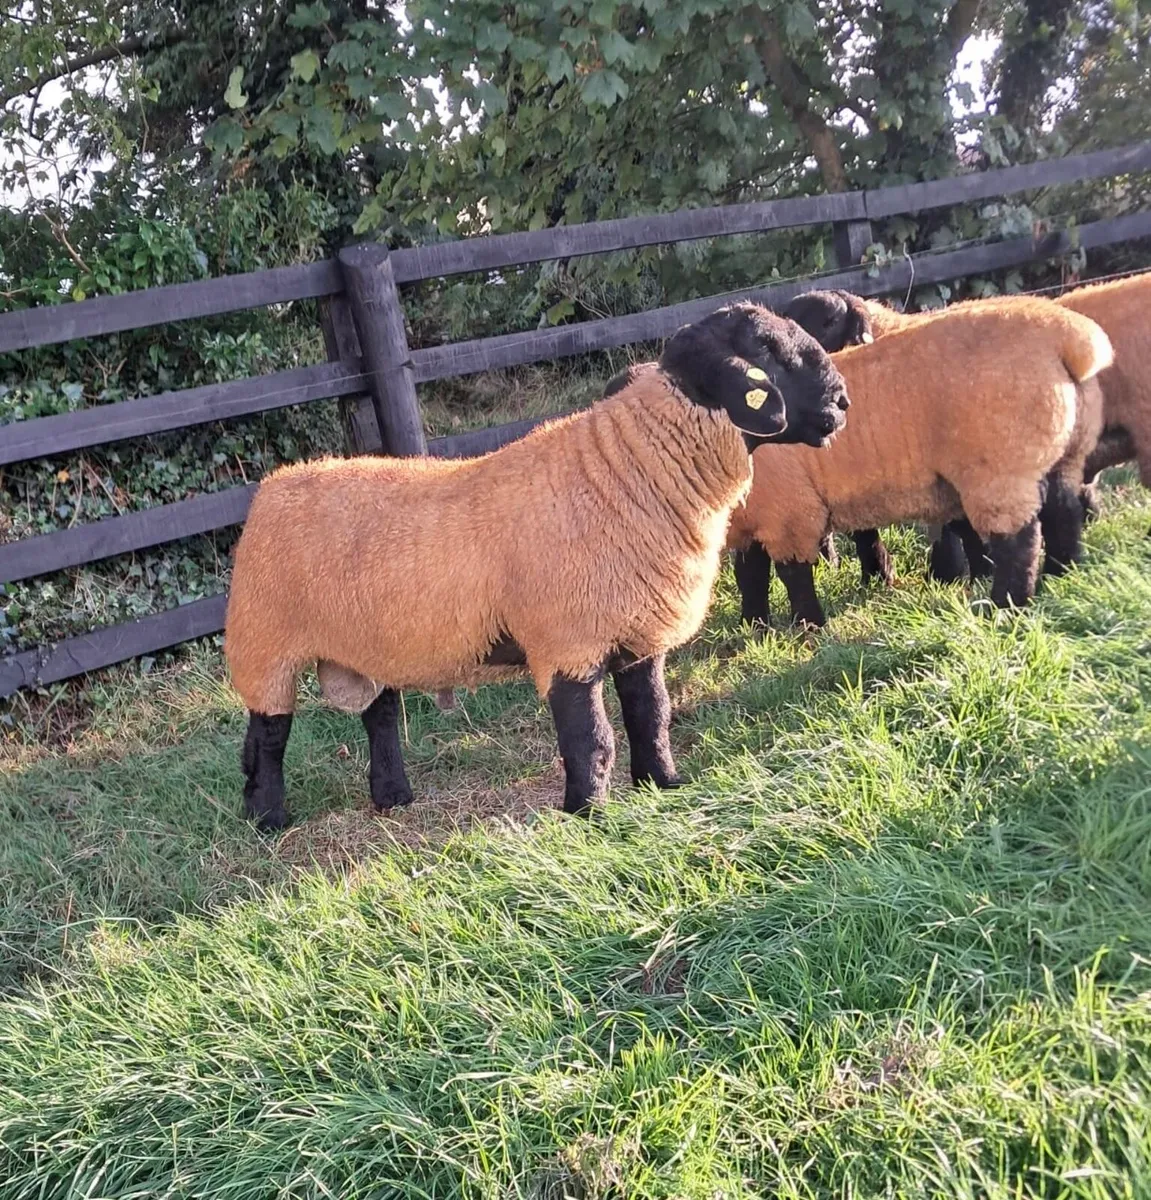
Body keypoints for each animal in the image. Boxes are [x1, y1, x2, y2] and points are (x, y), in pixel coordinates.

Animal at [224, 303, 850, 831]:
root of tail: (274, 487)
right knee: (266, 738)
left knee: (378, 716)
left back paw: (393, 796)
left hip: (362, 641)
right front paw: (588, 816)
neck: (631, 472)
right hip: (265, 644)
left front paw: (663, 785)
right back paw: (267, 817)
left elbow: (652, 714)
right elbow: (590, 738)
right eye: (765, 346)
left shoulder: (636, 634)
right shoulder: (567, 640)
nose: (843, 400)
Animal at [727, 295, 1112, 628]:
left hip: (1000, 468)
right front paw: (754, 627)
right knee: (1064, 511)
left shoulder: (789, 515)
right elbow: (751, 576)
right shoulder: (750, 522)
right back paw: (1061, 575)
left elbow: (794, 576)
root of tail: (1068, 335)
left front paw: (809, 628)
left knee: (1019, 541)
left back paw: (1004, 605)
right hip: (1063, 451)